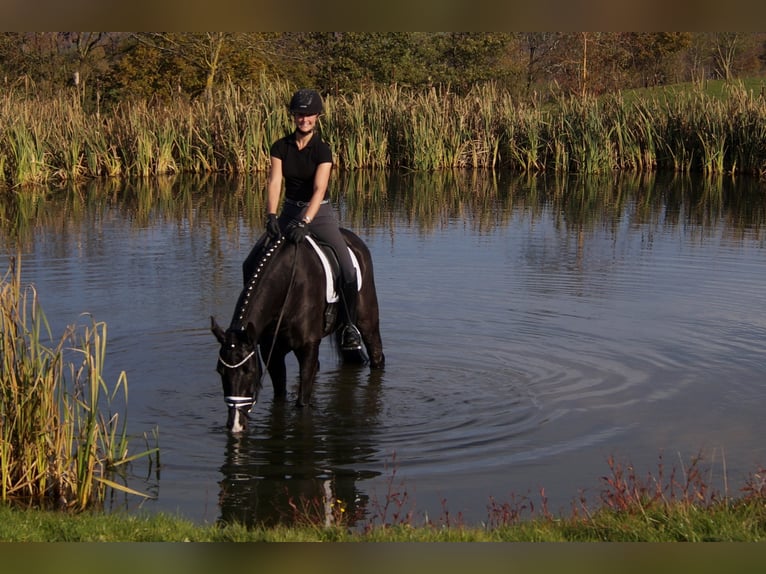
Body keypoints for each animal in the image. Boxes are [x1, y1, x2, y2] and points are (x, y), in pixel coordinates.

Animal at [213, 230, 388, 432]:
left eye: (249, 371)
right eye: (220, 371)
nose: (235, 425)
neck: (287, 284)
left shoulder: (308, 346)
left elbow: (302, 404)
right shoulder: (271, 352)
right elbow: (279, 399)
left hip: (368, 322)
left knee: (376, 353)